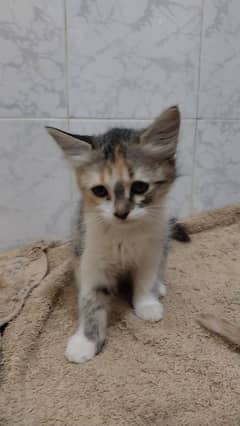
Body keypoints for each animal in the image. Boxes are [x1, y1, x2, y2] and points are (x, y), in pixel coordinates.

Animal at [46, 105, 182, 362]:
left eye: (139, 187)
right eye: (100, 191)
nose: (121, 213)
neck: (124, 236)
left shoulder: (152, 249)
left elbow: (146, 280)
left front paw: (146, 304)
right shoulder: (91, 258)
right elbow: (91, 301)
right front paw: (86, 342)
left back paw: (159, 287)